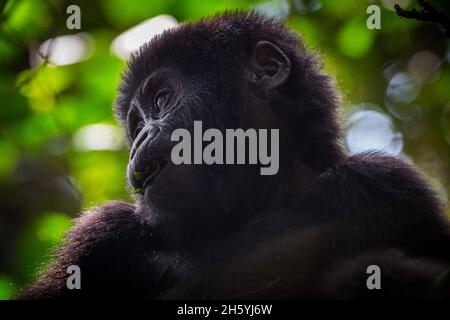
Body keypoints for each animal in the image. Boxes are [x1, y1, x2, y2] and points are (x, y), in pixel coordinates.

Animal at [19, 11, 450, 298]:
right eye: (136, 126)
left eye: (160, 100)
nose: (138, 144)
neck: (259, 200)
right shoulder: (102, 235)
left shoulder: (387, 185)